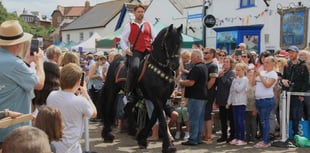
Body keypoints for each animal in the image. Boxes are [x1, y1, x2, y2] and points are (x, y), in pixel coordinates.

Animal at [100, 24, 183, 152]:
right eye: (169, 42)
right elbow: (162, 121)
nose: (175, 65)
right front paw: (168, 146)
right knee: (108, 108)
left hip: (136, 96)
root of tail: (114, 60)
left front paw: (142, 138)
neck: (160, 68)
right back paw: (107, 134)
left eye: (180, 43)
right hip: (111, 90)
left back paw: (133, 130)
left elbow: (154, 118)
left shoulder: (162, 98)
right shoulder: (155, 97)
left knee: (127, 109)